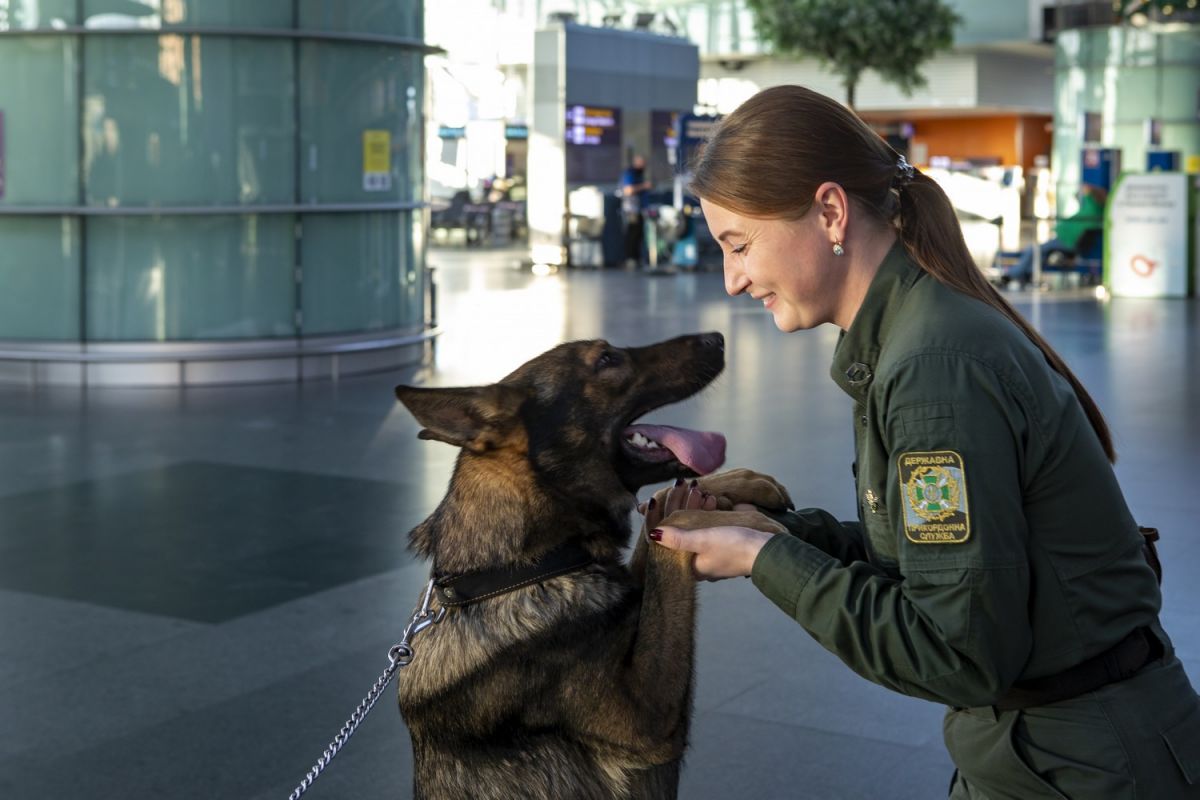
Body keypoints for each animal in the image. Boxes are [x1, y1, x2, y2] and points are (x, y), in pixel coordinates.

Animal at [393, 333, 787, 800]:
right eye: (606, 359)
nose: (717, 338)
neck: (521, 570)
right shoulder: (650, 718)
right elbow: (670, 524)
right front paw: (757, 529)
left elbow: (661, 510)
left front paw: (741, 483)